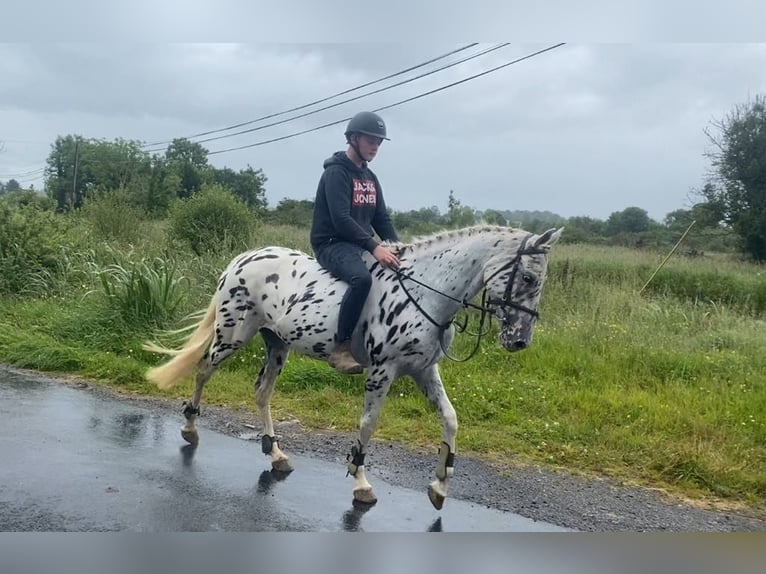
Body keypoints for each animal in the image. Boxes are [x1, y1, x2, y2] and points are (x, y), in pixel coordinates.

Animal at [144, 227, 564, 510]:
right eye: (528, 277)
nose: (519, 341)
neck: (425, 291)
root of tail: (241, 260)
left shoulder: (424, 371)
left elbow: (450, 419)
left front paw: (440, 486)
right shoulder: (383, 371)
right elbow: (368, 424)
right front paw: (360, 482)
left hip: (277, 344)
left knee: (262, 392)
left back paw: (276, 454)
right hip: (232, 335)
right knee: (202, 371)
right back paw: (190, 428)